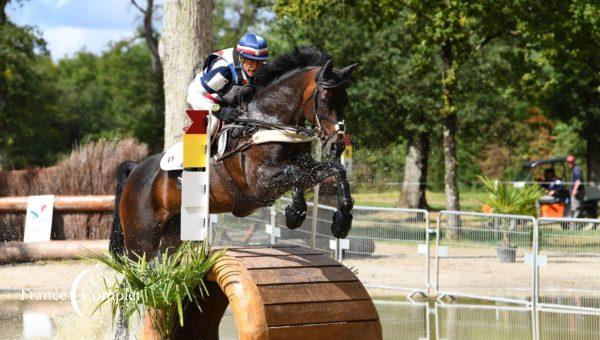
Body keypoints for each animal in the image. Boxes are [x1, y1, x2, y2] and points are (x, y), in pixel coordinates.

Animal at [108, 45, 356, 258]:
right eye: (324, 100)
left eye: (345, 100)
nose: (337, 145)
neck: (269, 121)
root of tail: (136, 170)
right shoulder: (259, 183)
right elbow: (293, 173)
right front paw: (294, 215)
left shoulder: (305, 167)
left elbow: (336, 171)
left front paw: (341, 222)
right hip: (141, 238)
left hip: (173, 232)